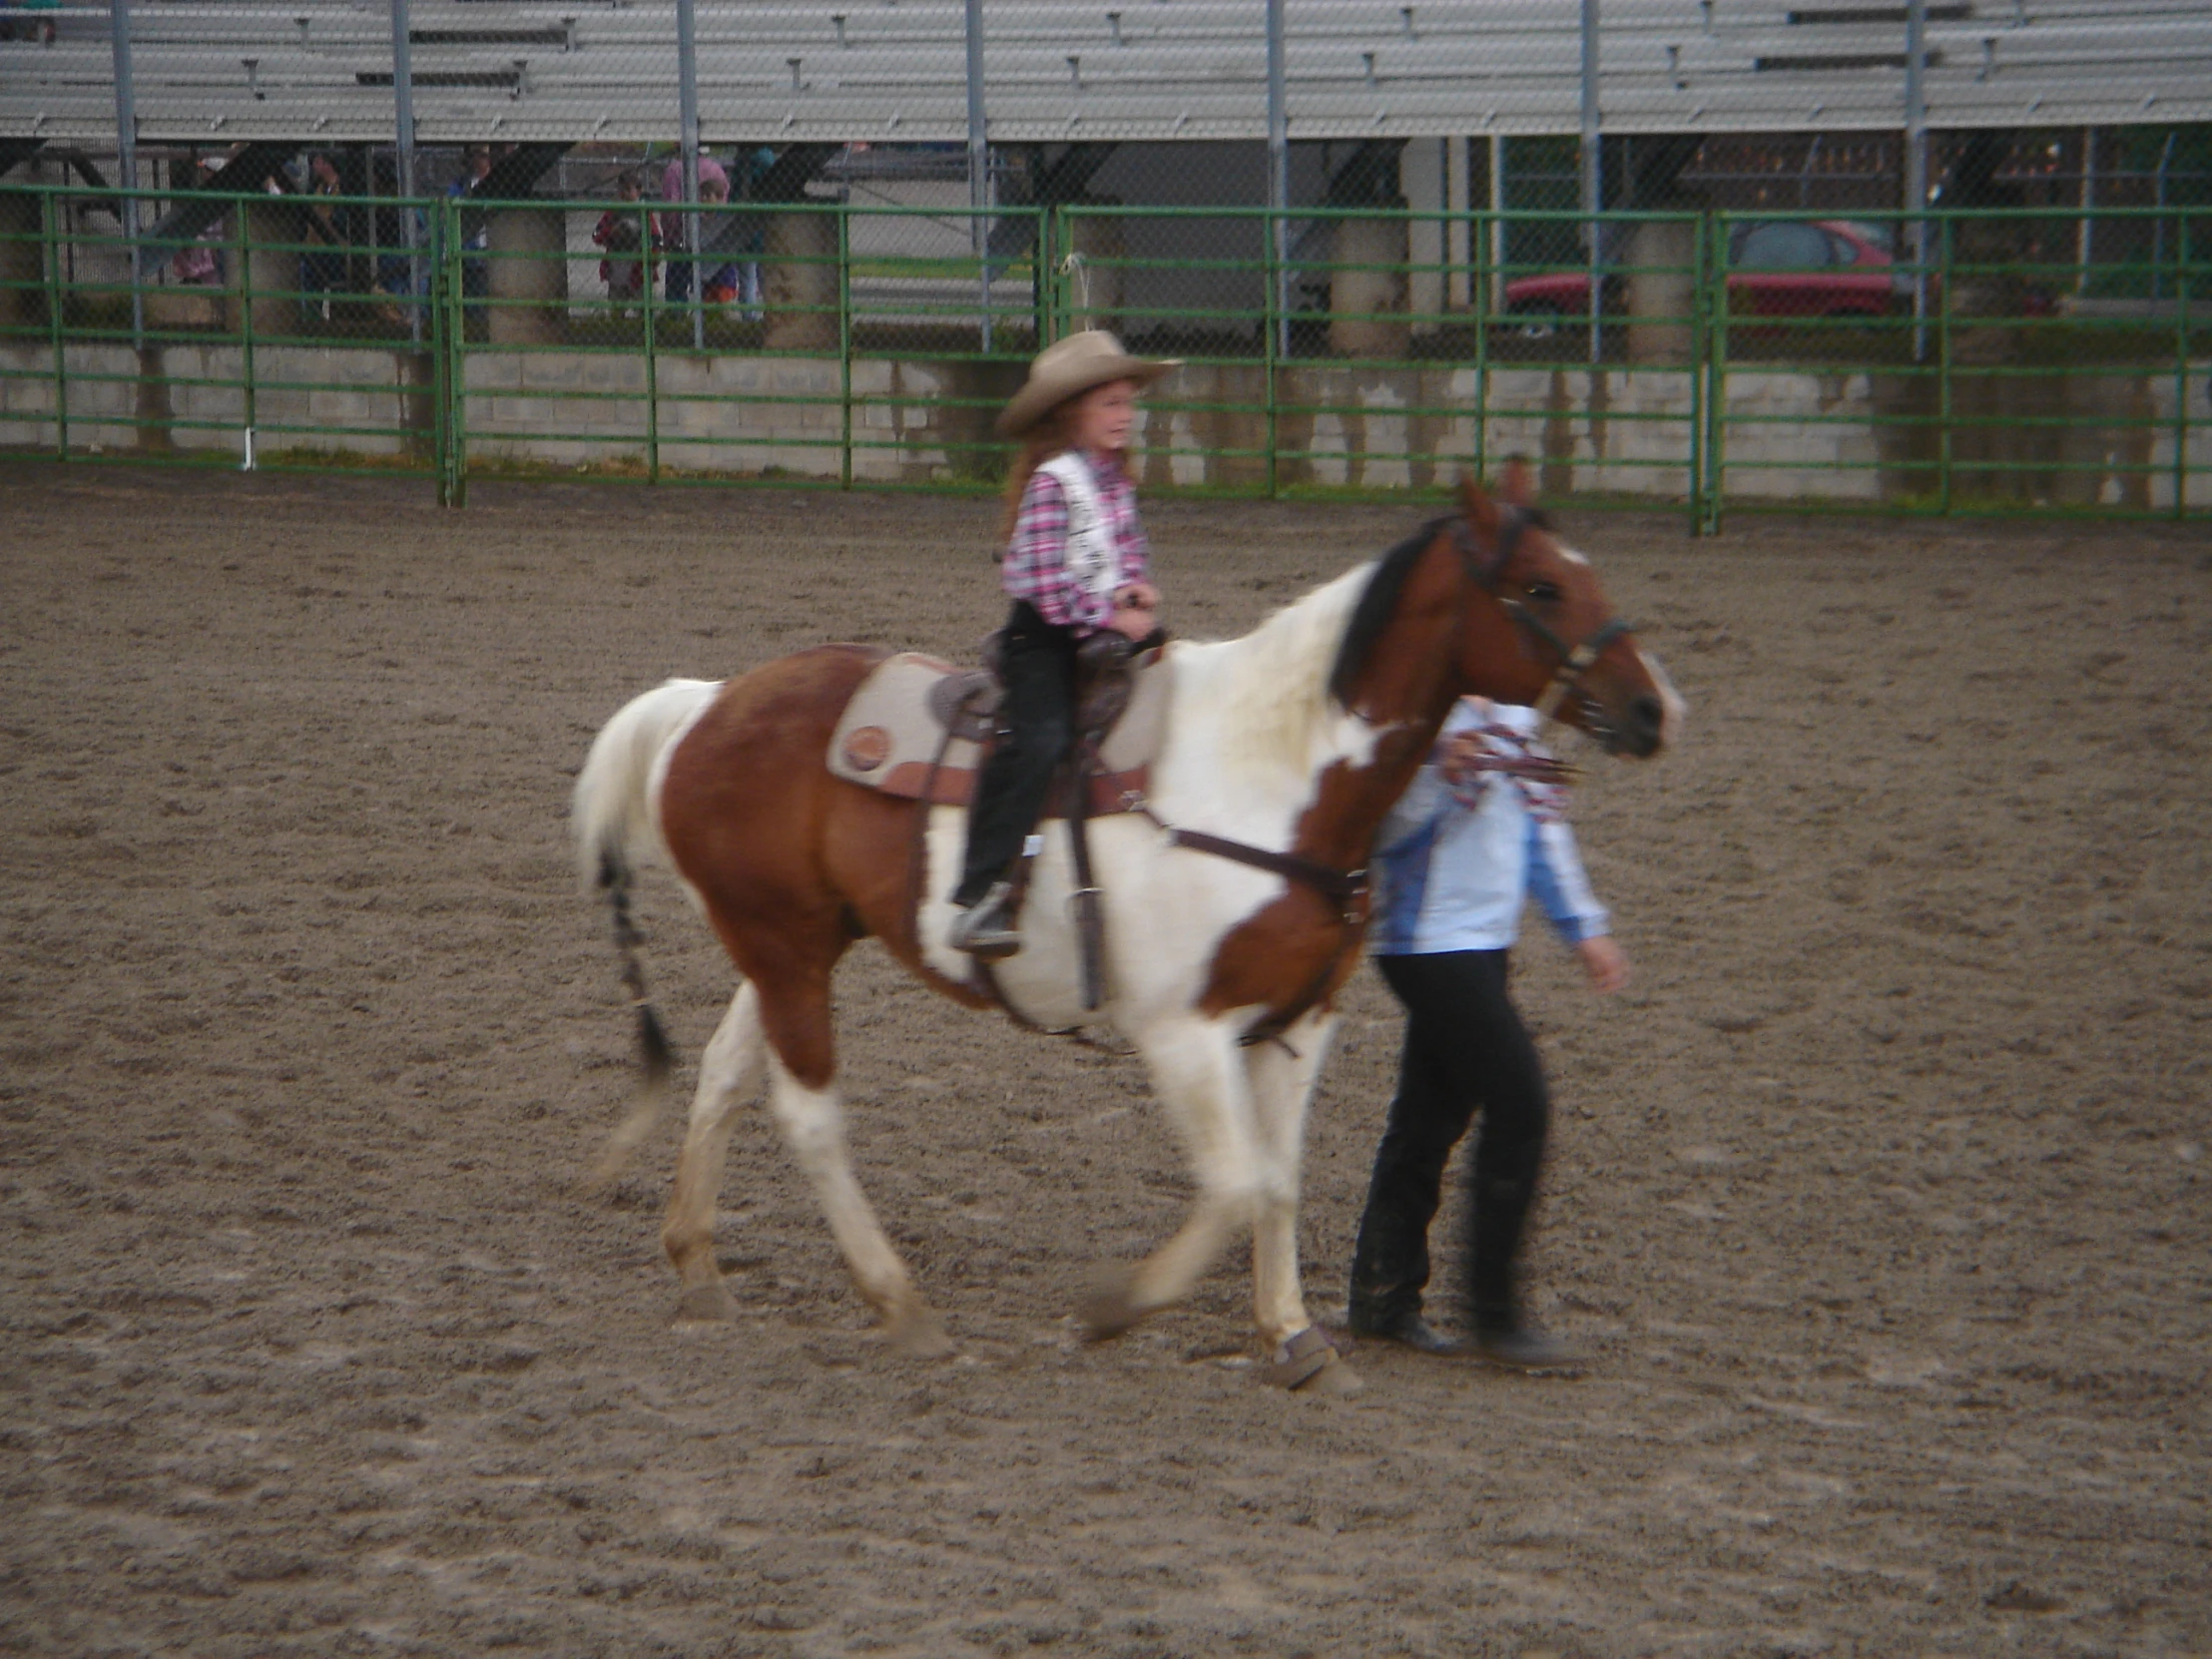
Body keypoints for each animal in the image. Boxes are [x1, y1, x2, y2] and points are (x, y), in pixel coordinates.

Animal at [570, 473, 1672, 1397]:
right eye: (1540, 586)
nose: (1652, 709)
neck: (1269, 773)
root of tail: (707, 702)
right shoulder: (1182, 1031)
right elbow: (1233, 1184)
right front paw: (1114, 1308)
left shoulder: (1298, 1023)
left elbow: (1277, 1181)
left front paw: (1293, 1337)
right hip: (789, 950)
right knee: (807, 1115)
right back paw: (901, 1304)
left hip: (789, 947)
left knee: (722, 1071)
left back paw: (698, 1265)